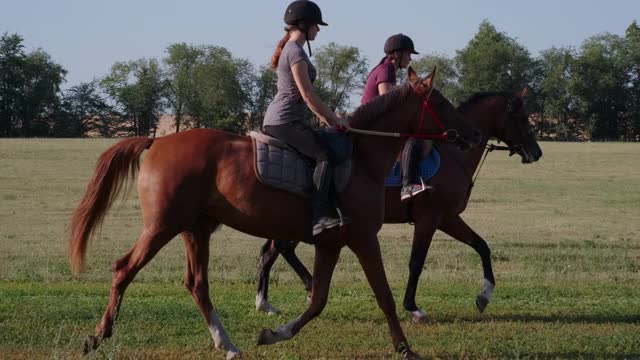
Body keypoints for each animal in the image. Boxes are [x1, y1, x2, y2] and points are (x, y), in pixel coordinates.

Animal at [69, 68, 480, 360]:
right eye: (442, 104)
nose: (474, 135)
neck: (363, 158)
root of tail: (158, 140)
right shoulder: (365, 238)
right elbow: (384, 295)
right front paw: (406, 348)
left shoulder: (331, 243)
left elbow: (318, 300)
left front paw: (275, 333)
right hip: (162, 226)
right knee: (124, 269)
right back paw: (98, 336)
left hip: (196, 229)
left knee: (198, 284)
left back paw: (227, 344)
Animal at [254, 89, 540, 320]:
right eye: (522, 117)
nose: (537, 152)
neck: (453, 155)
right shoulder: (429, 219)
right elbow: (417, 262)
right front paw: (412, 307)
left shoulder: (448, 218)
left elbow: (481, 246)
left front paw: (484, 295)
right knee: (280, 248)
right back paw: (300, 288)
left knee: (272, 251)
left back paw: (266, 301)